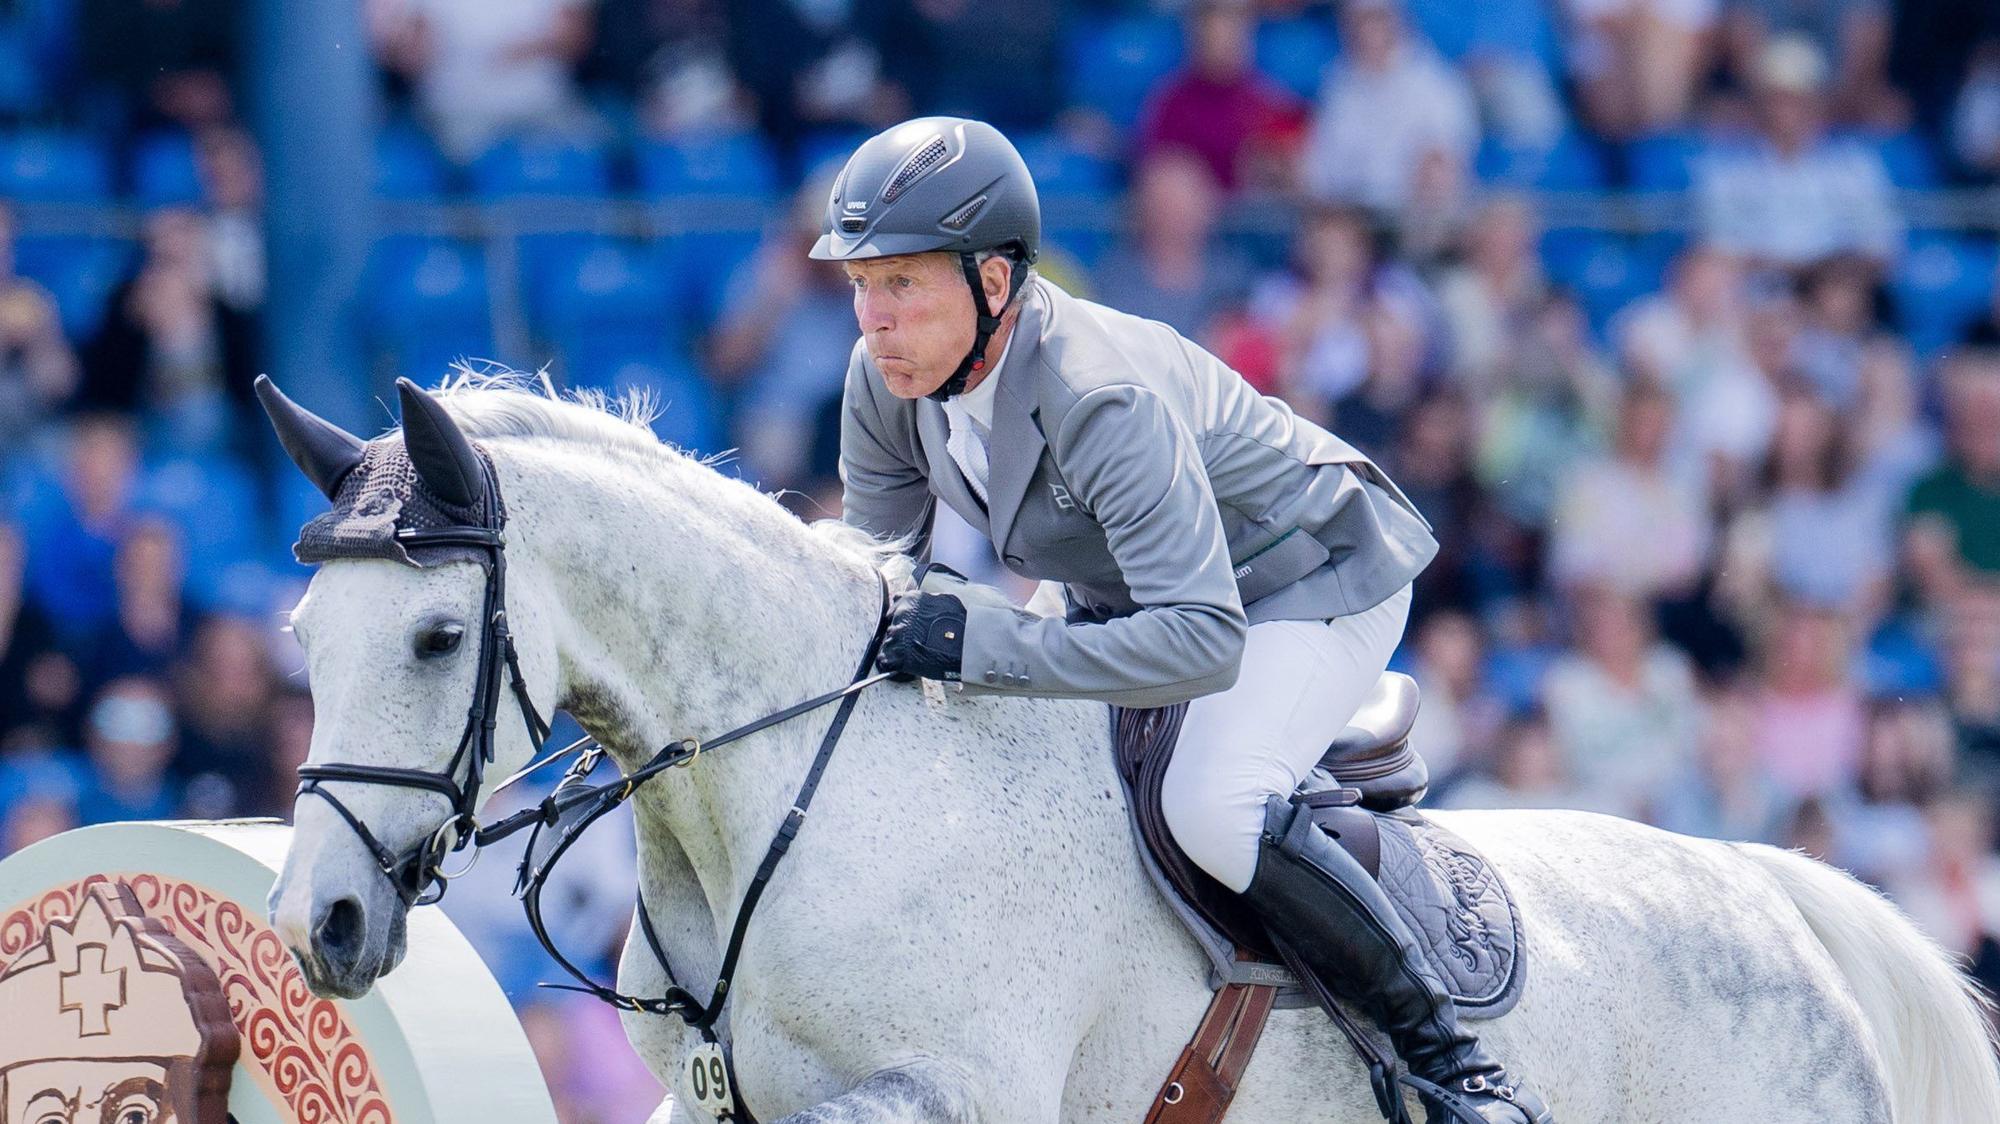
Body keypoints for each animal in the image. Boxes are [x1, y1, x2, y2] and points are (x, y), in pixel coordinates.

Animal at [265, 372, 2000, 1124]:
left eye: (435, 640)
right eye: (304, 640)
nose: (319, 927)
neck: (790, 799)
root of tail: (1775, 898)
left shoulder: (950, 1098)